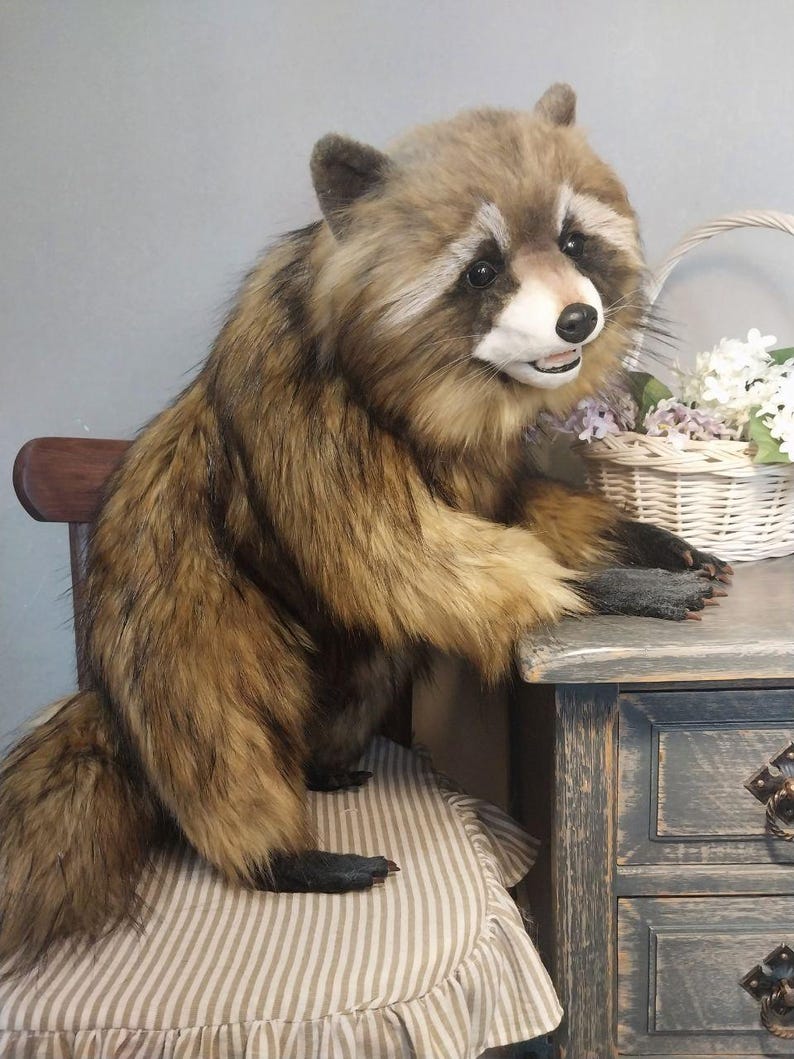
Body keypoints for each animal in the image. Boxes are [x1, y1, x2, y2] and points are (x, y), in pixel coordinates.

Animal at [0, 84, 729, 972]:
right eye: (482, 269)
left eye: (571, 240)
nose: (578, 319)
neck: (452, 386)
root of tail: (103, 690)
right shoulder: (295, 399)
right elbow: (399, 553)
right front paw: (611, 583)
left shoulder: (480, 459)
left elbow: (511, 510)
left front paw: (639, 538)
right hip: (178, 619)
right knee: (215, 733)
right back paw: (274, 854)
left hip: (344, 663)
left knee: (376, 663)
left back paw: (319, 764)